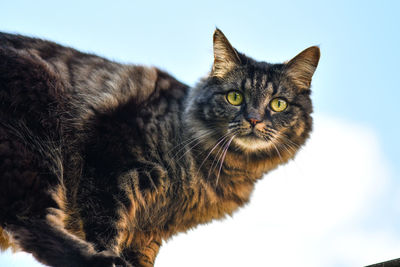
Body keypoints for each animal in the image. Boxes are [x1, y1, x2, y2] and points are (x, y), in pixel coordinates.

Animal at [0, 28, 320, 266]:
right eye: (235, 97)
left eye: (278, 104)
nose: (253, 119)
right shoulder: (109, 166)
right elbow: (105, 229)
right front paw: (109, 254)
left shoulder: (149, 232)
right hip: (37, 136)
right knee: (27, 219)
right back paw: (99, 261)